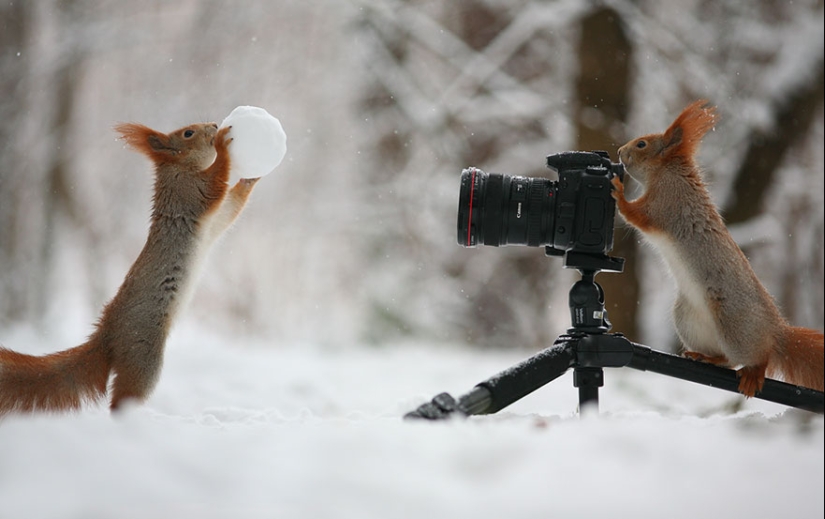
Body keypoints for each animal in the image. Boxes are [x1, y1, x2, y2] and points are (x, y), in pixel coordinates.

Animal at [0, 121, 259, 416]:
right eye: (188, 133)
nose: (214, 125)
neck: (179, 168)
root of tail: (107, 335)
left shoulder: (213, 221)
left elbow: (230, 208)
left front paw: (250, 178)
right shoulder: (190, 192)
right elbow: (216, 181)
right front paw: (224, 146)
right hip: (142, 353)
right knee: (123, 399)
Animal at [611, 99, 824, 398]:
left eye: (642, 144)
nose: (620, 152)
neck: (666, 172)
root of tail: (775, 331)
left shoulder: (666, 202)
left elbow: (638, 215)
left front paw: (618, 192)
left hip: (734, 325)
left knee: (755, 357)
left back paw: (754, 372)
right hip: (688, 319)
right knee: (725, 360)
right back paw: (705, 357)